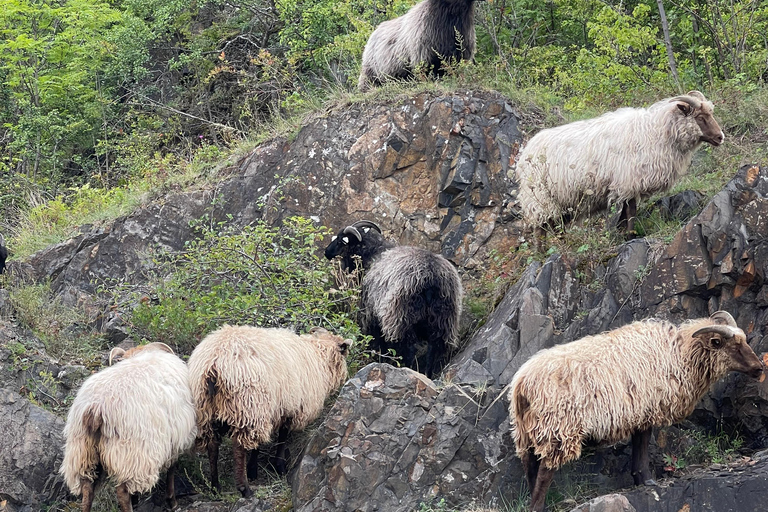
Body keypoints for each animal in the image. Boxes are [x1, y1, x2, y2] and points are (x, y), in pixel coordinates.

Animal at [60, 342, 198, 512]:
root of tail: (96, 408)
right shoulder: (175, 440)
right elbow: (171, 471)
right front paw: (172, 502)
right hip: (132, 452)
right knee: (122, 491)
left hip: (82, 451)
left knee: (87, 489)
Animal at [188, 324, 352, 496]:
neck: (318, 356)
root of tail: (213, 363)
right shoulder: (290, 408)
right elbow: (282, 437)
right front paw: (278, 466)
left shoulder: (271, 410)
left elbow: (258, 445)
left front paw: (253, 469)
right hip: (247, 405)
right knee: (239, 448)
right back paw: (244, 488)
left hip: (207, 410)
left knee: (213, 446)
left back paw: (215, 486)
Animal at [322, 218, 462, 378]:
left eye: (340, 240)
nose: (326, 252)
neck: (373, 253)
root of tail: (431, 277)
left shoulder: (372, 314)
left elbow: (380, 343)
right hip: (443, 321)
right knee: (433, 350)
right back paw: (427, 374)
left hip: (402, 318)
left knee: (410, 349)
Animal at [508, 310, 764, 512]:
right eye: (733, 345)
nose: (759, 368)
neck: (680, 354)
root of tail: (522, 381)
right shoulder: (646, 408)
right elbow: (642, 445)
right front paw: (647, 480)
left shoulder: (640, 411)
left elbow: (639, 445)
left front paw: (640, 479)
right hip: (558, 427)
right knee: (544, 472)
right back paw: (539, 506)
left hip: (528, 430)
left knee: (531, 467)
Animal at [516, 91, 728, 236]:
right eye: (700, 117)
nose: (720, 137)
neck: (656, 132)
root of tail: (524, 153)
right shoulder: (629, 181)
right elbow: (631, 211)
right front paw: (630, 235)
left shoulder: (628, 184)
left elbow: (626, 213)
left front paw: (624, 232)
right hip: (539, 197)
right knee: (539, 230)